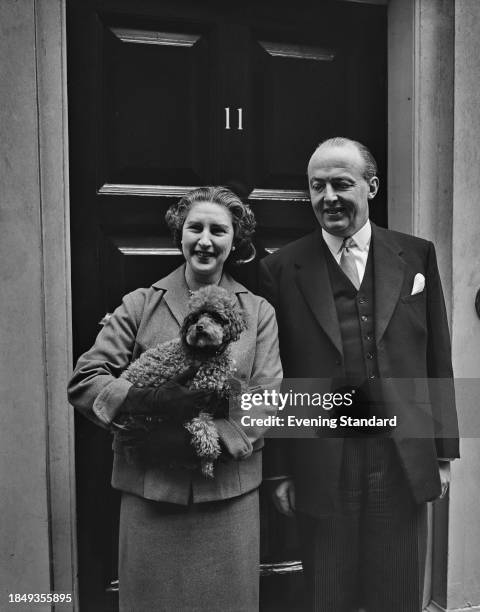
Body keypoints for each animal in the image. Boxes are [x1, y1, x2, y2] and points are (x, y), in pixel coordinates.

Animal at [120, 286, 248, 478]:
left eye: (215, 315)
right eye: (195, 317)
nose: (199, 327)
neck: (206, 353)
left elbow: (229, 386)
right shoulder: (193, 400)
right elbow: (203, 428)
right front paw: (208, 458)